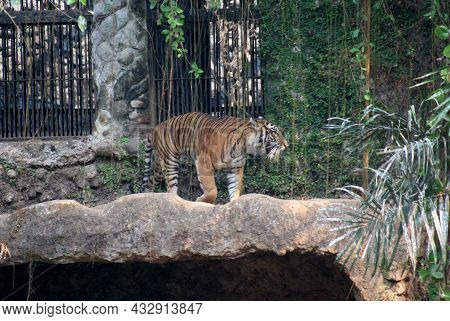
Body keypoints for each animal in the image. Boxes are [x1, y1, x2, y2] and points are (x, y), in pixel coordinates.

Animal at [141, 111, 288, 204]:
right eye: (273, 132)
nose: (286, 145)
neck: (243, 145)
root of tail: (156, 127)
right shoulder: (203, 162)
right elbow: (212, 190)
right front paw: (201, 201)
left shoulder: (235, 168)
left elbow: (235, 188)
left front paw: (235, 204)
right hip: (170, 161)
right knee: (171, 186)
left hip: (160, 164)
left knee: (150, 180)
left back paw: (147, 196)